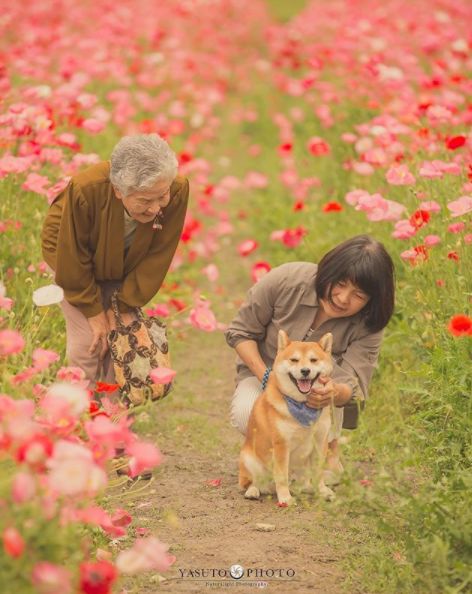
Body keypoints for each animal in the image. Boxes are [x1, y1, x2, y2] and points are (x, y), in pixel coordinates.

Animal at [240, 328, 336, 504]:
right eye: (294, 360)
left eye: (313, 360)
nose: (305, 371)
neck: (302, 405)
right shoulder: (281, 445)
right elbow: (282, 476)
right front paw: (285, 498)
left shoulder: (320, 442)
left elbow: (318, 472)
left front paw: (322, 491)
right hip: (249, 459)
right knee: (253, 482)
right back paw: (253, 491)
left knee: (302, 482)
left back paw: (306, 488)